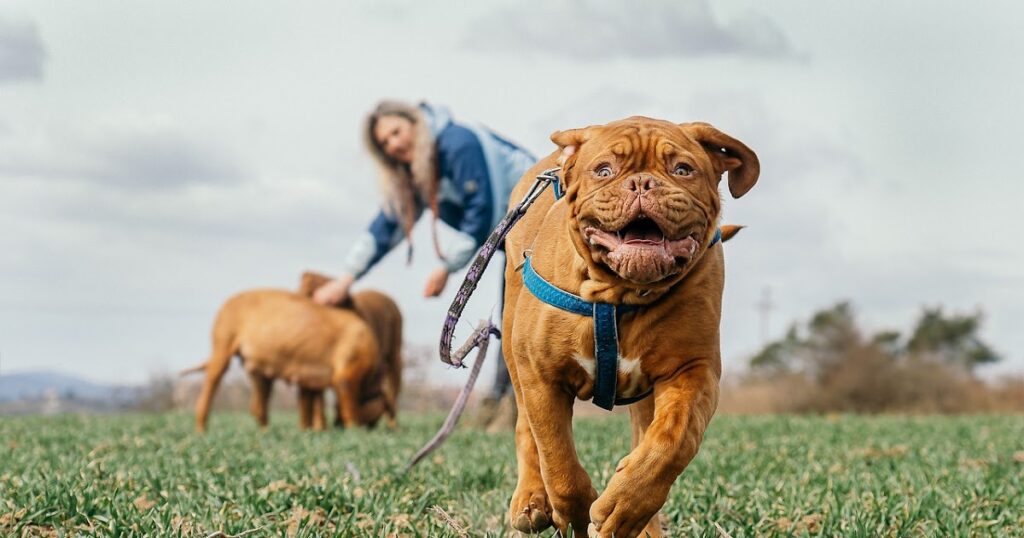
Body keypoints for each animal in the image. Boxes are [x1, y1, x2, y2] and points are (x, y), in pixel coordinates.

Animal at [188, 284, 395, 432]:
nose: (338, 426)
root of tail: (226, 303)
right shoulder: (347, 376)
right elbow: (350, 407)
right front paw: (353, 430)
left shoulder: (312, 380)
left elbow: (308, 402)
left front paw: (311, 430)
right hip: (223, 343)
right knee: (210, 386)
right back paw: (201, 429)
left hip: (259, 370)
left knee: (258, 406)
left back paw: (265, 431)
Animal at [503, 116, 761, 532]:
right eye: (603, 170)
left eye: (682, 170)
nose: (641, 183)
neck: (619, 294)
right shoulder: (542, 376)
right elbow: (559, 463)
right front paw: (576, 515)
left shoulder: (693, 370)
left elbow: (672, 440)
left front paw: (624, 505)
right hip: (514, 349)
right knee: (527, 427)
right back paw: (530, 500)